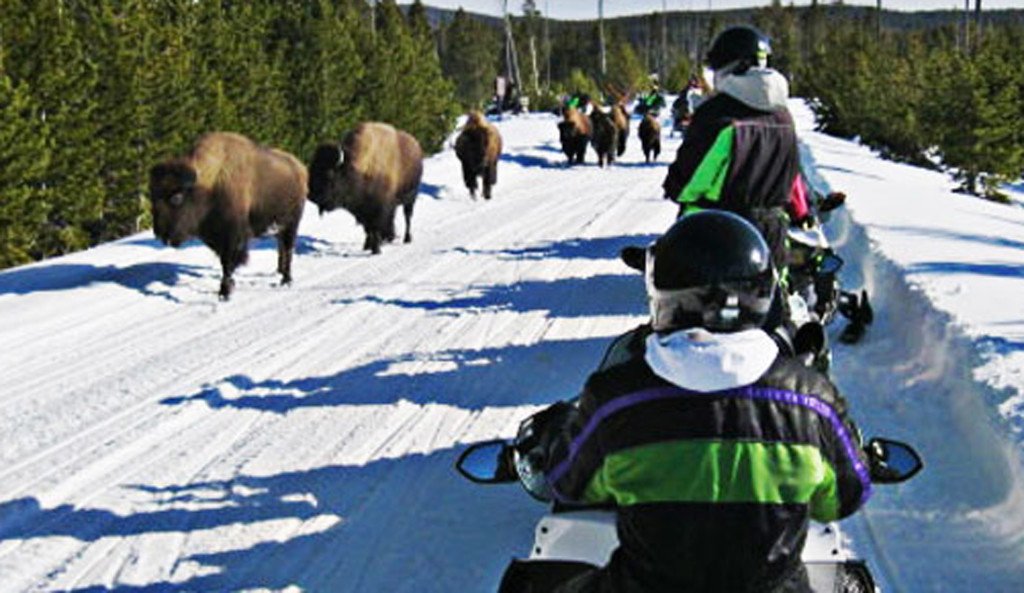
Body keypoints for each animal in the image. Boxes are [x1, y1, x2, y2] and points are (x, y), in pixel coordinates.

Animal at [148, 132, 307, 299]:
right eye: (152, 198)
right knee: (281, 247)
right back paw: (280, 272)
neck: (209, 185)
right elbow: (224, 262)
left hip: (291, 224)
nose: (160, 233)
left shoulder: (231, 238)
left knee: (288, 249)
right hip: (280, 228)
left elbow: (227, 263)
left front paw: (224, 292)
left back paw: (286, 280)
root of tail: (300, 168)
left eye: (176, 197)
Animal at [309, 122, 425, 255]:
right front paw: (367, 246)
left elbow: (375, 228)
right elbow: (368, 229)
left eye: (329, 174)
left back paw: (407, 238)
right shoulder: (363, 211)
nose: (311, 196)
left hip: (410, 198)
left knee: (407, 217)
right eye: (312, 170)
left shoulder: (378, 209)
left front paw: (376, 249)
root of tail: (416, 145)